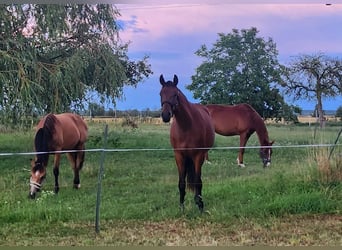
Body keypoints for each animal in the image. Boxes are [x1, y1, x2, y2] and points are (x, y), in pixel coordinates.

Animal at [160, 73, 214, 212]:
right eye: (160, 94)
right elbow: (181, 183)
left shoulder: (198, 156)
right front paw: (181, 207)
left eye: (175, 94)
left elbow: (198, 182)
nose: (166, 115)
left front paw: (200, 206)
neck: (186, 126)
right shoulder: (179, 156)